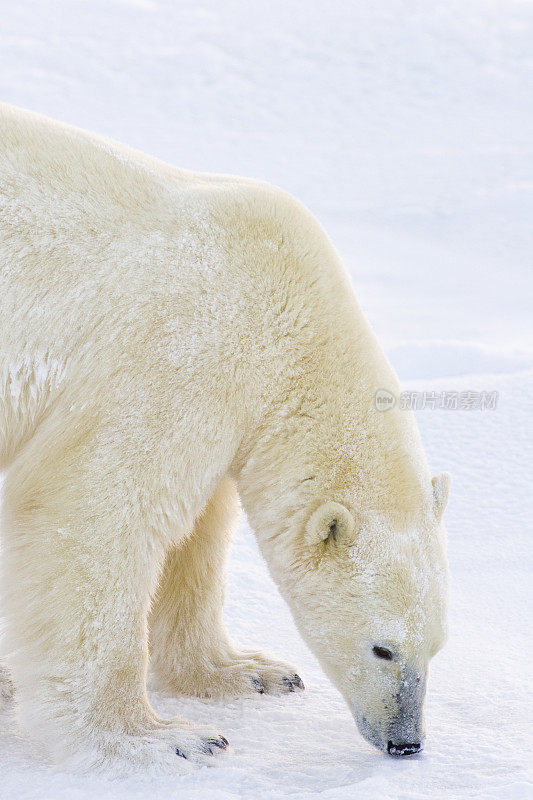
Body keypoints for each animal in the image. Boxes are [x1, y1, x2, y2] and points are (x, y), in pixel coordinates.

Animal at [0, 106, 448, 776]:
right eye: (383, 649)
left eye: (438, 647)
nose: (406, 742)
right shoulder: (183, 343)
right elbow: (97, 510)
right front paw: (164, 737)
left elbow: (196, 538)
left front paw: (252, 673)